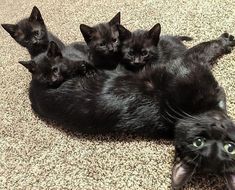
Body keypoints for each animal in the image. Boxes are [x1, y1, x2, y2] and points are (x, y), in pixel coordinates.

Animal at [20, 32, 235, 189]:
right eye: (199, 142)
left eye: (229, 147)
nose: (218, 127)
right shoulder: (186, 63)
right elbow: (208, 46)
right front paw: (226, 40)